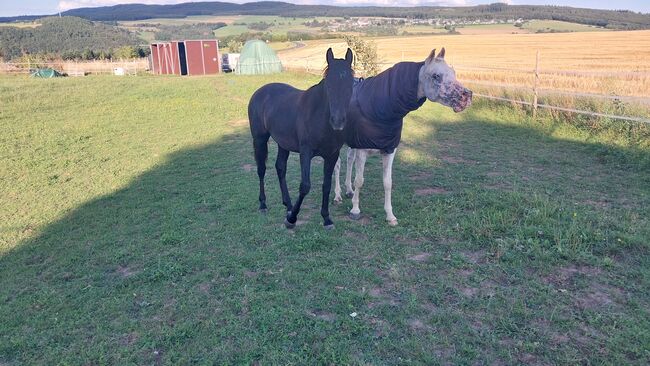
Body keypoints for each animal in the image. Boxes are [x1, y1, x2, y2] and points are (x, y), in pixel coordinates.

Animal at [248, 48, 352, 229]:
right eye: (329, 85)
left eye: (351, 84)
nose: (338, 121)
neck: (318, 116)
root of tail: (260, 92)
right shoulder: (306, 153)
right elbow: (305, 186)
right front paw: (292, 219)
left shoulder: (332, 155)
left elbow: (326, 185)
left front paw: (326, 218)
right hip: (259, 140)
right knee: (261, 169)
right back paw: (263, 204)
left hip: (283, 144)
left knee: (280, 168)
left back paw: (288, 205)